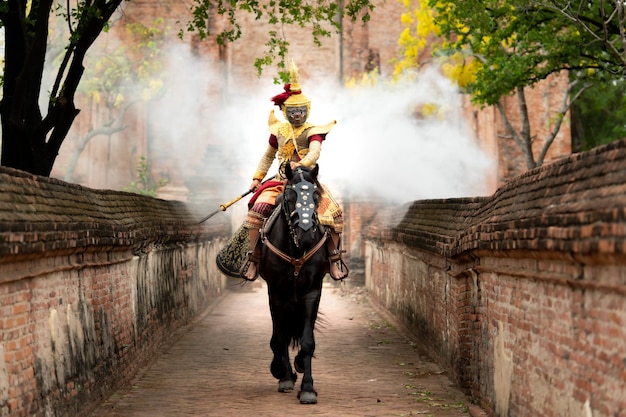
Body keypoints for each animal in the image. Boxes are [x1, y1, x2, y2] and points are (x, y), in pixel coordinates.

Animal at [258, 163, 330, 404]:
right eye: (288, 197)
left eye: (316, 196)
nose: (306, 236)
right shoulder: (276, 292)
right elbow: (279, 337)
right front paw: (282, 373)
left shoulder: (312, 291)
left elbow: (307, 340)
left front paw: (307, 387)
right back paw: (286, 375)